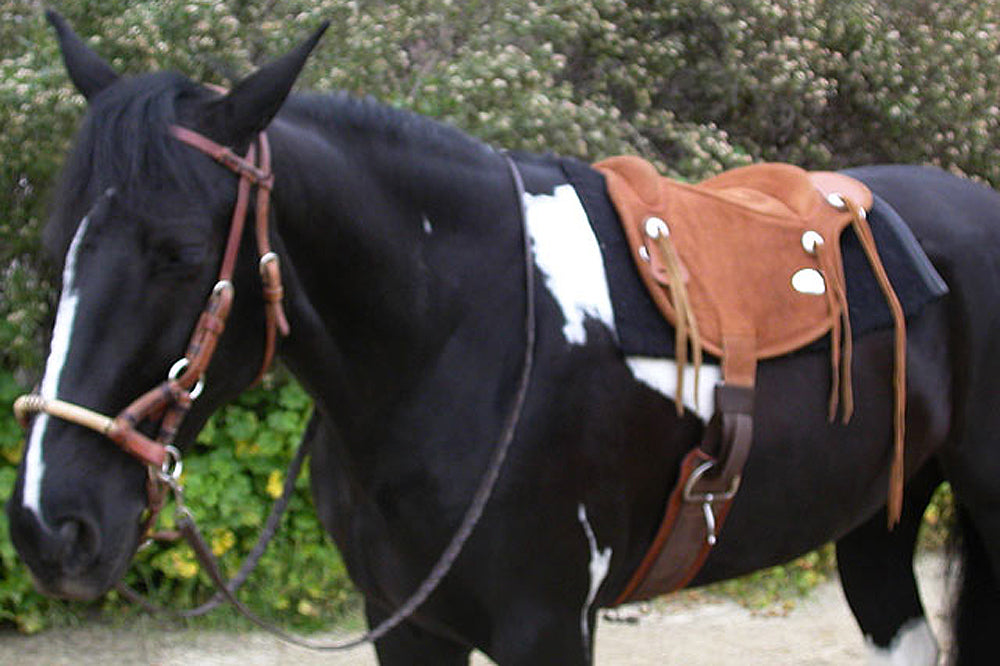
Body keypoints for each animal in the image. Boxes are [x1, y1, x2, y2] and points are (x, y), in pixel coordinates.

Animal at [8, 13, 1000, 665]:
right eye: (57, 246)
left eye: (178, 254)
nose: (51, 526)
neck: (451, 343)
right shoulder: (407, 625)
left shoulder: (547, 627)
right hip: (877, 521)